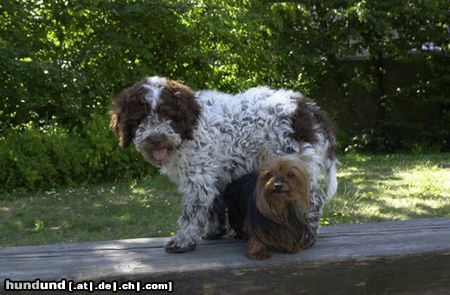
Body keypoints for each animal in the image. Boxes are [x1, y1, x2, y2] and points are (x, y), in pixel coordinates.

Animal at [110, 77, 338, 254]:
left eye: (168, 115)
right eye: (141, 117)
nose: (156, 139)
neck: (189, 131)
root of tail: (309, 109)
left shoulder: (198, 178)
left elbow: (191, 212)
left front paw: (183, 241)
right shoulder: (214, 176)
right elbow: (214, 204)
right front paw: (213, 232)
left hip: (295, 164)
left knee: (313, 199)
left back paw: (308, 235)